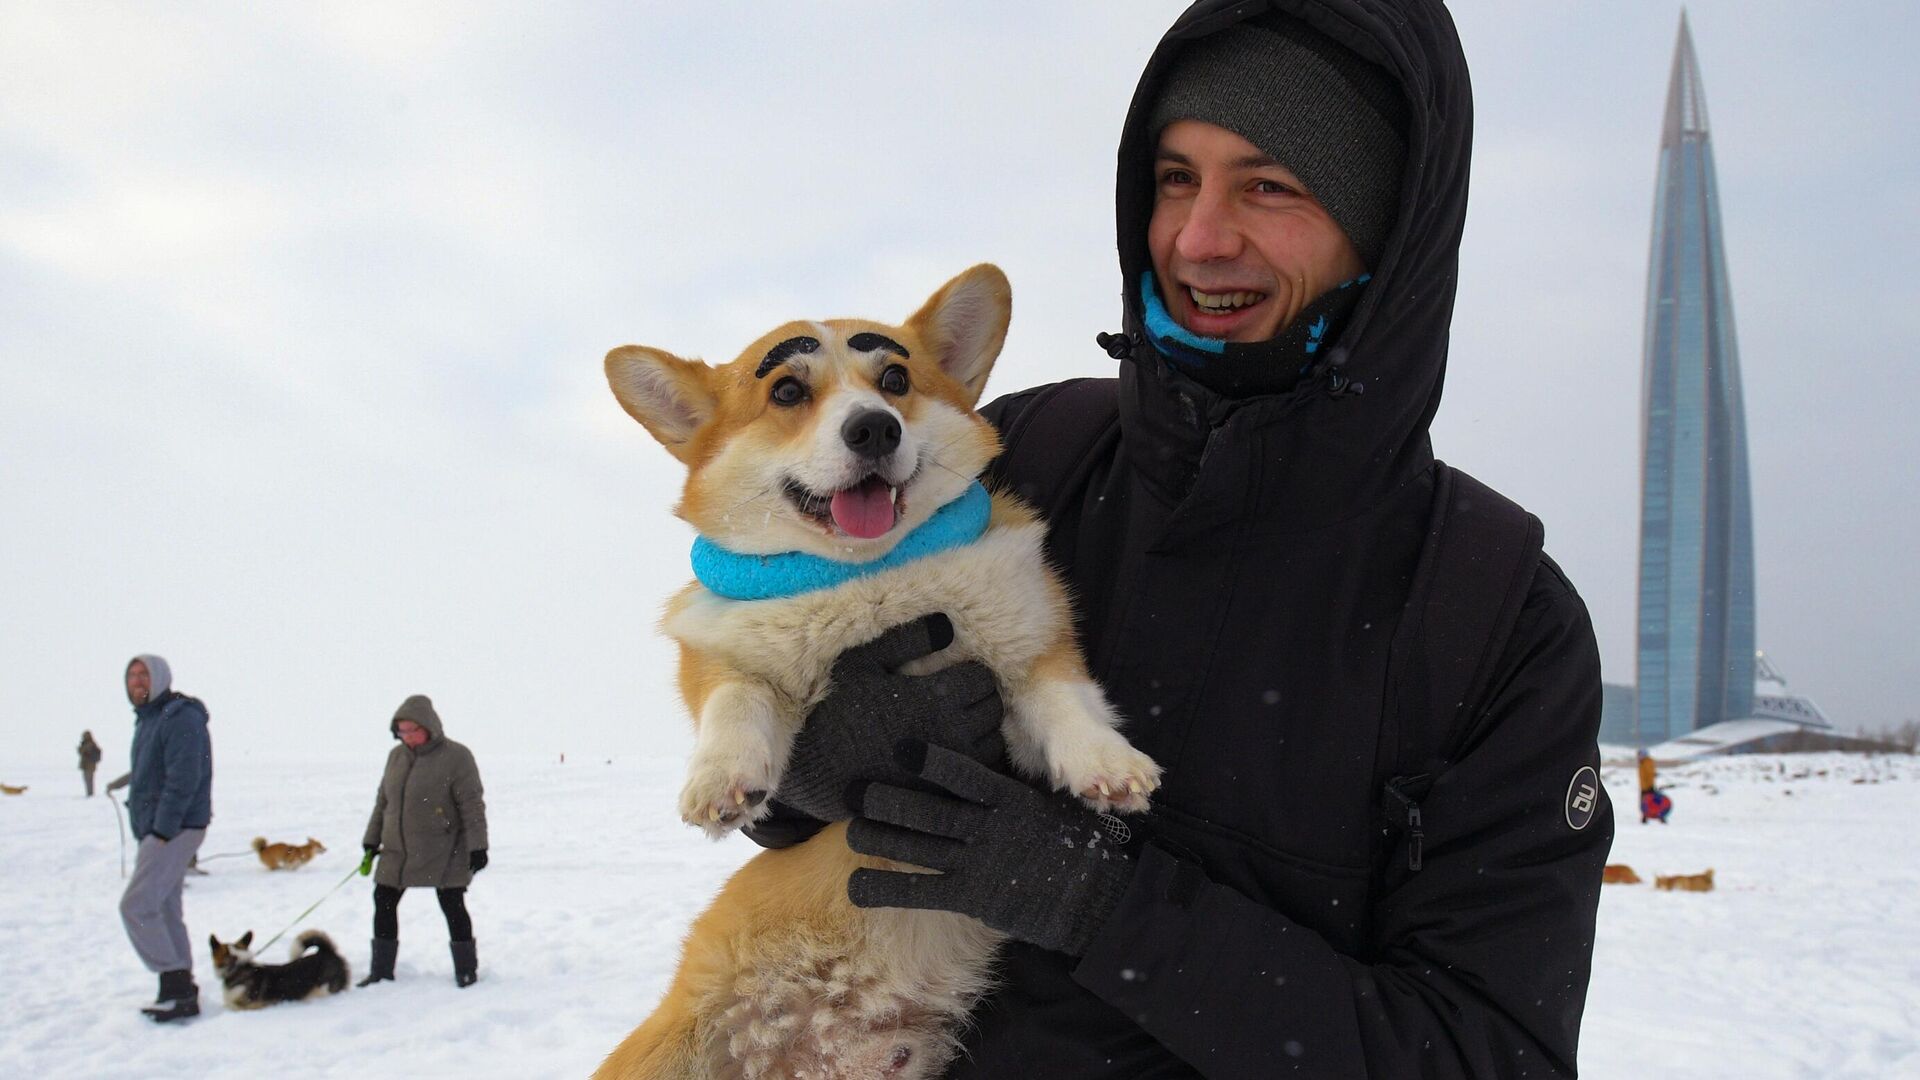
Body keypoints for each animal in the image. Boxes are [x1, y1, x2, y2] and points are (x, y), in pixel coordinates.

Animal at [599, 263, 1159, 1076]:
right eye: (787, 391)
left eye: (895, 379)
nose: (874, 427)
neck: (868, 580)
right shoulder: (725, 658)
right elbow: (736, 702)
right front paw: (719, 784)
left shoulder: (1028, 648)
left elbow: (1064, 701)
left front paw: (1109, 767)